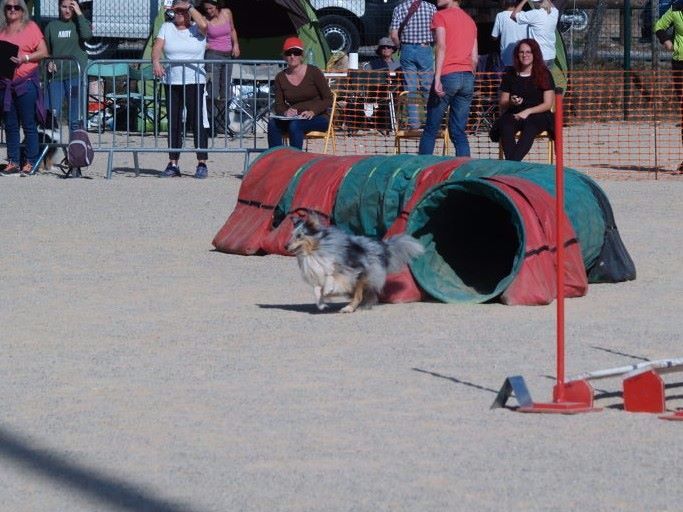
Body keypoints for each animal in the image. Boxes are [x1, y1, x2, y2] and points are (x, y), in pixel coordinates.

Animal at [286, 212, 424, 312]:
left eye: (299, 235)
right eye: (291, 234)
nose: (285, 246)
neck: (315, 250)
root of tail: (381, 246)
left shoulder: (349, 269)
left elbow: (331, 276)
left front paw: (328, 290)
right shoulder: (318, 274)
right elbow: (317, 289)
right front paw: (321, 304)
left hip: (363, 275)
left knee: (359, 296)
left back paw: (349, 308)